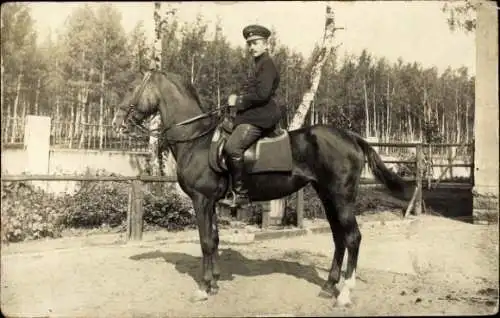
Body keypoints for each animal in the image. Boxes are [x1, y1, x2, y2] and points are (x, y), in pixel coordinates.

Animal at [113, 69, 410, 306]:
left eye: (131, 87)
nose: (117, 123)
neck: (196, 140)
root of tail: (351, 136)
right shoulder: (212, 203)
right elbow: (214, 239)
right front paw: (215, 282)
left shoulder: (201, 200)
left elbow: (205, 241)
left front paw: (204, 288)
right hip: (327, 196)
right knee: (339, 237)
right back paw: (328, 286)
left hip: (342, 197)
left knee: (353, 237)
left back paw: (345, 293)